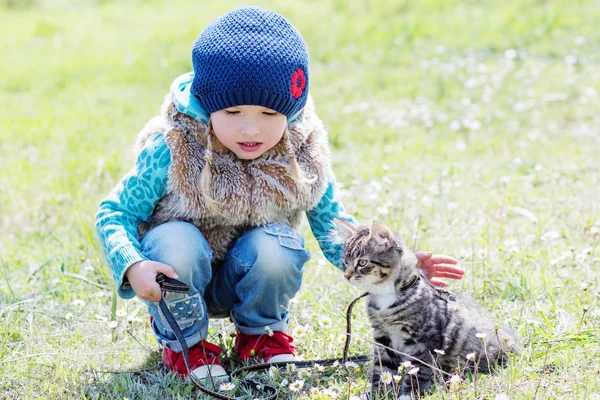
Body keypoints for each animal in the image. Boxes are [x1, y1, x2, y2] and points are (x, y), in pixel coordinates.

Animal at [338, 220, 520, 398]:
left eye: (362, 262)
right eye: (346, 261)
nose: (346, 276)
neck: (385, 296)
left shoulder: (422, 341)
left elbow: (417, 372)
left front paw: (408, 395)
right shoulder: (383, 337)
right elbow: (382, 371)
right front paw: (377, 394)